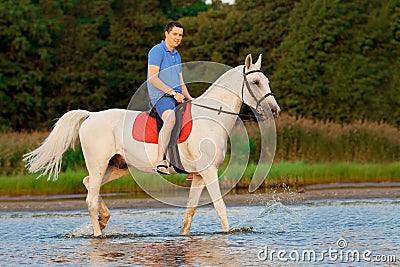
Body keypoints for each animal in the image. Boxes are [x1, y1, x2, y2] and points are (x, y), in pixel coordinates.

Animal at [23, 54, 280, 237]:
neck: (210, 118)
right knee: (90, 199)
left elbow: (190, 211)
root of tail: (91, 116)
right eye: (255, 81)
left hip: (117, 166)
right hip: (99, 164)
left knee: (88, 185)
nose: (274, 110)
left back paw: (104, 219)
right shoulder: (209, 172)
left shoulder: (198, 175)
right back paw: (98, 233)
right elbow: (220, 207)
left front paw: (183, 236)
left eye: (267, 81)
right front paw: (228, 235)